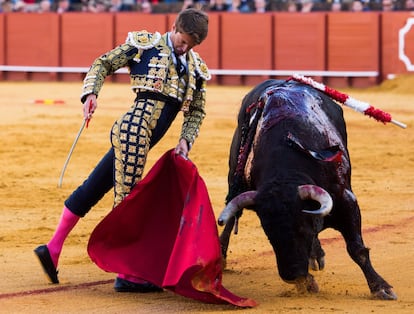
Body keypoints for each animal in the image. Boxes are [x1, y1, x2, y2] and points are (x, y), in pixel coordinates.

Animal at [218, 78, 396, 300]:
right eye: (268, 234)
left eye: (302, 229)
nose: (291, 275)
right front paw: (307, 283)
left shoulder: (346, 200)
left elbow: (357, 248)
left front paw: (381, 287)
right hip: (235, 171)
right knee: (231, 216)